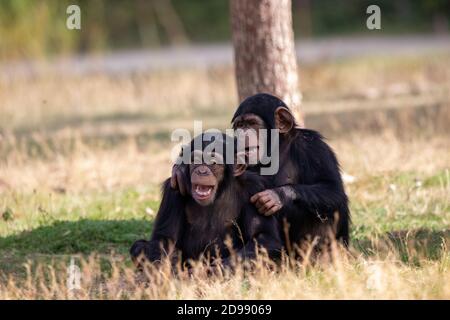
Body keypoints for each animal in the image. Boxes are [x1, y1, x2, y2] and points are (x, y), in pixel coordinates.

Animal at [130, 131, 284, 268]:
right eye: (196, 160)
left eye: (213, 162)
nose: (202, 171)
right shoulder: (173, 189)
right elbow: (164, 238)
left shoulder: (254, 188)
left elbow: (264, 237)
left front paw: (218, 269)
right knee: (139, 246)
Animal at [172, 93, 352, 258]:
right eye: (240, 125)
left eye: (252, 123)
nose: (243, 133)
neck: (277, 148)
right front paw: (179, 171)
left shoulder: (313, 147)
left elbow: (333, 190)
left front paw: (276, 196)